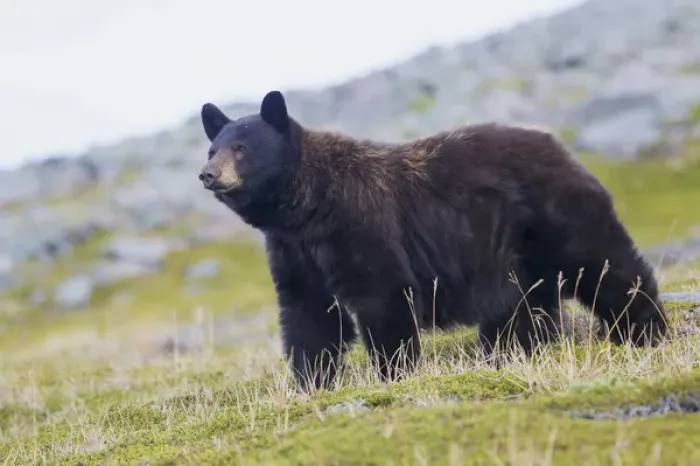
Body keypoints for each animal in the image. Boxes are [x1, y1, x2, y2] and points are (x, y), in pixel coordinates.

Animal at [197, 90, 667, 392]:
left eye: (242, 147)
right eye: (212, 149)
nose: (208, 174)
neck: (306, 207)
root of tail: (558, 144)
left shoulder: (358, 223)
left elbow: (383, 295)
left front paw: (394, 372)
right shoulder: (294, 251)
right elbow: (308, 314)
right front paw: (311, 381)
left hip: (555, 215)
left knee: (604, 265)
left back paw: (646, 329)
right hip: (508, 251)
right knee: (520, 306)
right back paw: (511, 352)